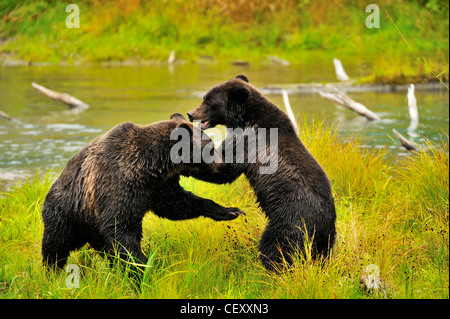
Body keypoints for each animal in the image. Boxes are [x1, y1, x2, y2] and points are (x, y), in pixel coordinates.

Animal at [40, 113, 244, 270]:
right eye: (210, 147)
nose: (225, 164)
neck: (152, 167)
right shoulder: (118, 186)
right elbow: (120, 229)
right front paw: (143, 267)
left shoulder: (158, 187)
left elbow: (177, 204)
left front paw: (229, 211)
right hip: (68, 214)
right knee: (55, 246)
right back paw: (52, 272)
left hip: (91, 226)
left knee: (103, 249)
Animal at [185, 75, 336, 272]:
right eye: (204, 97)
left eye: (209, 101)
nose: (190, 114)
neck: (243, 120)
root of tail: (323, 221)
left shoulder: (247, 142)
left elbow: (223, 169)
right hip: (326, 238)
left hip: (291, 219)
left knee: (275, 246)